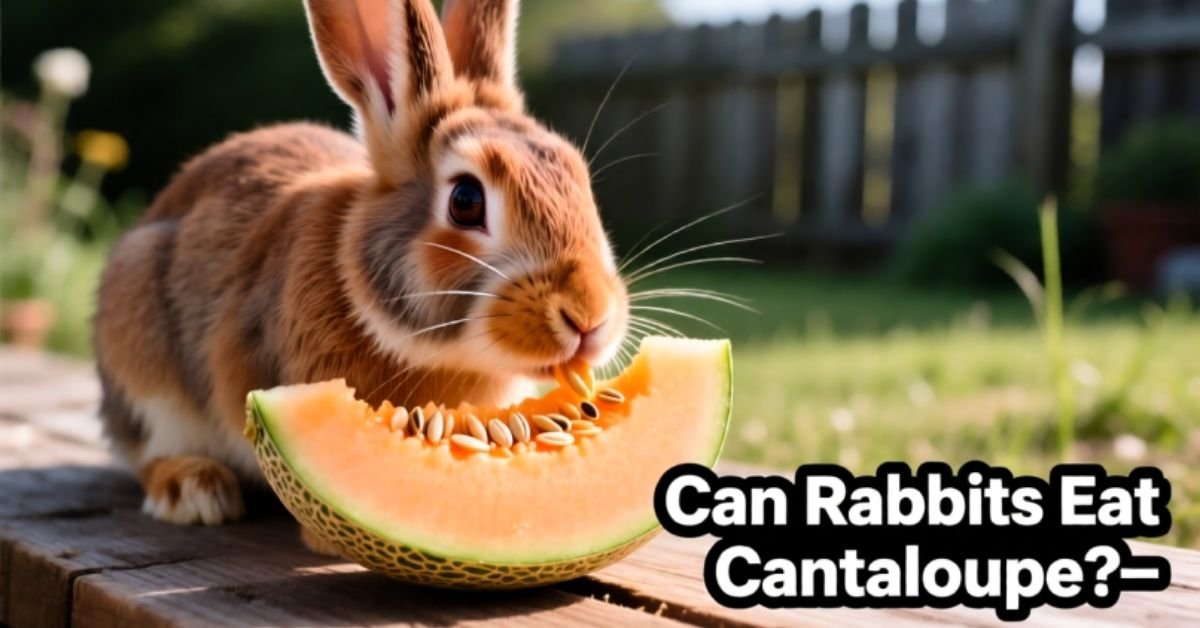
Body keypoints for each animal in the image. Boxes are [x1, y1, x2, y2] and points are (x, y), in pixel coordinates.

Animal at [94, 0, 629, 549]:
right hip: (141, 351)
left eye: (580, 180)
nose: (589, 317)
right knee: (147, 451)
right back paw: (193, 490)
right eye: (465, 200)